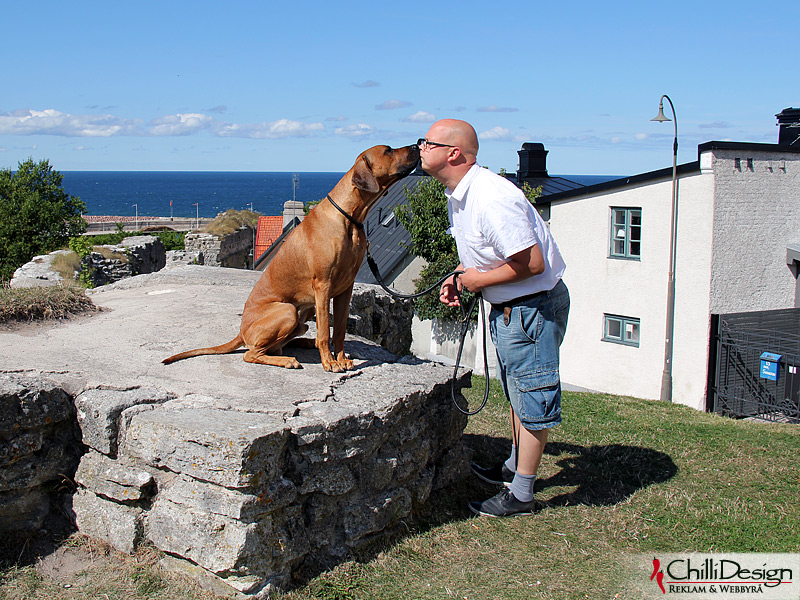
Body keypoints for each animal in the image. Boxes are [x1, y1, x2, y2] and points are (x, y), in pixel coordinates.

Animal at [165, 144, 422, 370]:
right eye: (388, 150)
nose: (417, 145)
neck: (349, 218)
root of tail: (241, 331)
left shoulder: (345, 288)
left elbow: (338, 330)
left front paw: (340, 358)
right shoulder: (323, 285)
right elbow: (325, 330)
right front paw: (330, 363)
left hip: (301, 318)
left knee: (282, 344)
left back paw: (305, 344)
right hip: (288, 310)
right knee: (252, 353)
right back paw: (287, 360)